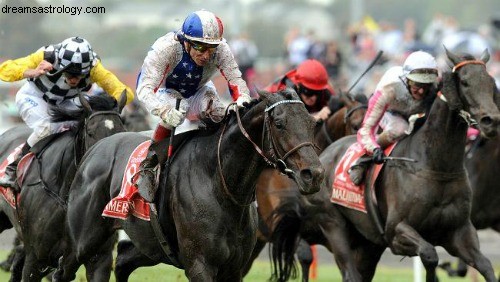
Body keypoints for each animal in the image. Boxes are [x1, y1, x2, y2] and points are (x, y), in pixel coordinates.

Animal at [52, 89, 324, 282]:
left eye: (312, 124)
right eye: (279, 124)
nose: (314, 174)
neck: (220, 185)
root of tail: (95, 150)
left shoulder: (234, 268)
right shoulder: (200, 266)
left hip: (149, 244)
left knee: (122, 262)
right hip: (84, 240)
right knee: (63, 271)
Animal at [270, 49, 500, 282]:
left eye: (491, 82)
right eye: (464, 82)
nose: (491, 120)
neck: (437, 167)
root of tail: (322, 156)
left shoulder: (460, 232)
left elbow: (486, 265)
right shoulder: (396, 231)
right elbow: (429, 255)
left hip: (366, 243)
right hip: (333, 225)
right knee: (346, 270)